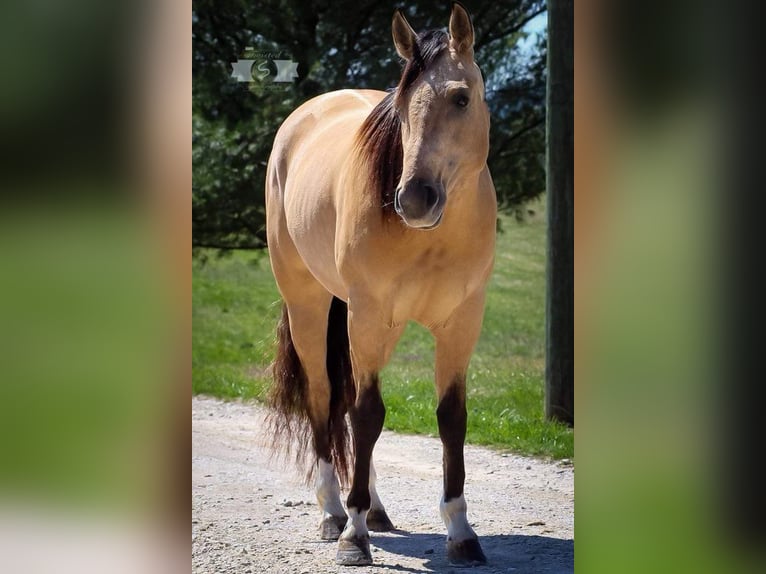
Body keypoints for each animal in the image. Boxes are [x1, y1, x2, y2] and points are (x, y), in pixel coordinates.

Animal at [266, 1, 498, 568]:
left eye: (461, 98)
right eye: (402, 105)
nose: (414, 199)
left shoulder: (461, 322)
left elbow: (451, 418)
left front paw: (461, 532)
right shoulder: (367, 315)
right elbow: (367, 414)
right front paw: (352, 537)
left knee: (348, 403)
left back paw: (371, 507)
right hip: (312, 308)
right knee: (326, 400)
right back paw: (335, 512)